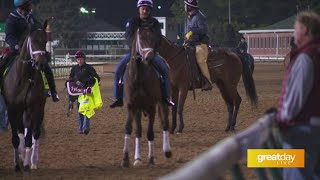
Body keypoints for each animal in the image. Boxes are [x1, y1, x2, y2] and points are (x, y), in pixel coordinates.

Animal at [1, 20, 48, 171]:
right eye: (32, 41)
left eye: (45, 41)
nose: (41, 63)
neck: (24, 76)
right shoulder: (12, 109)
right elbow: (16, 138)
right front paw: (17, 163)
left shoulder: (34, 108)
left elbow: (29, 138)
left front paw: (27, 163)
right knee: (22, 130)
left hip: (38, 109)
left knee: (35, 133)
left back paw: (33, 161)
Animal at [121, 26, 172, 167]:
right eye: (141, 38)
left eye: (153, 38)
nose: (149, 57)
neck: (139, 76)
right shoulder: (131, 106)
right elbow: (129, 129)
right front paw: (126, 158)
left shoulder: (152, 107)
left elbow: (150, 133)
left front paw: (151, 158)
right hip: (138, 110)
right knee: (138, 131)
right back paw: (137, 158)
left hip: (163, 103)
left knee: (165, 124)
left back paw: (167, 150)